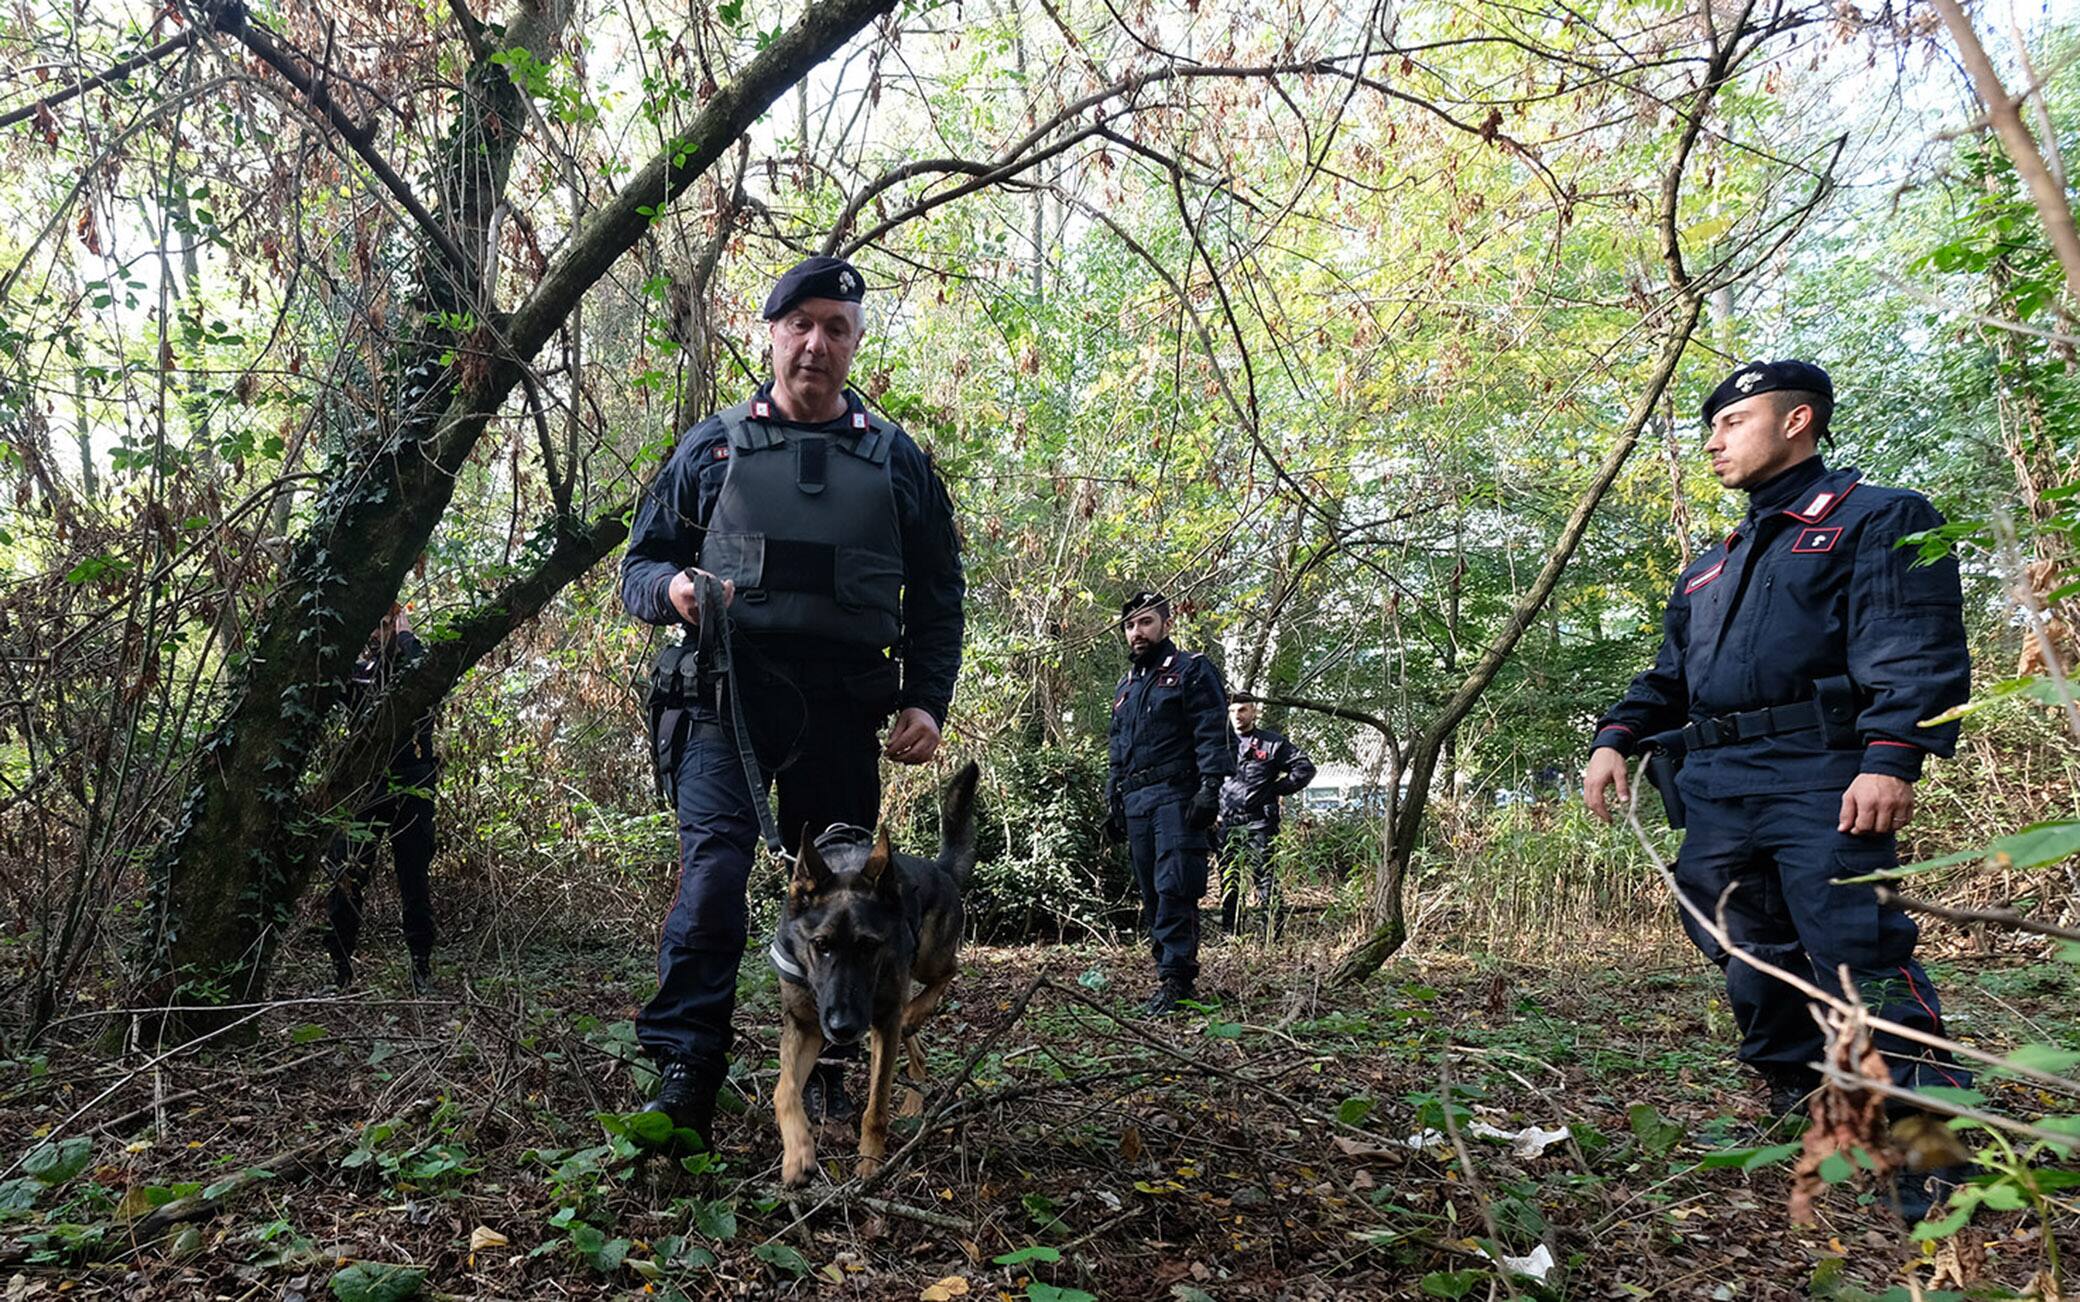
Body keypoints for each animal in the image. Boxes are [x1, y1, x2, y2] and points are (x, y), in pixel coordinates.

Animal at [777, 757, 977, 1181]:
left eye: (869, 947)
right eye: (821, 946)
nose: (842, 1028)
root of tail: (941, 868)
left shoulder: (881, 1019)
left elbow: (877, 1105)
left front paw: (869, 1163)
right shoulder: (804, 1024)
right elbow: (784, 1090)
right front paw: (797, 1151)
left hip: (926, 959)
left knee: (946, 972)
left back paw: (918, 1014)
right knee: (917, 1047)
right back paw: (915, 1098)